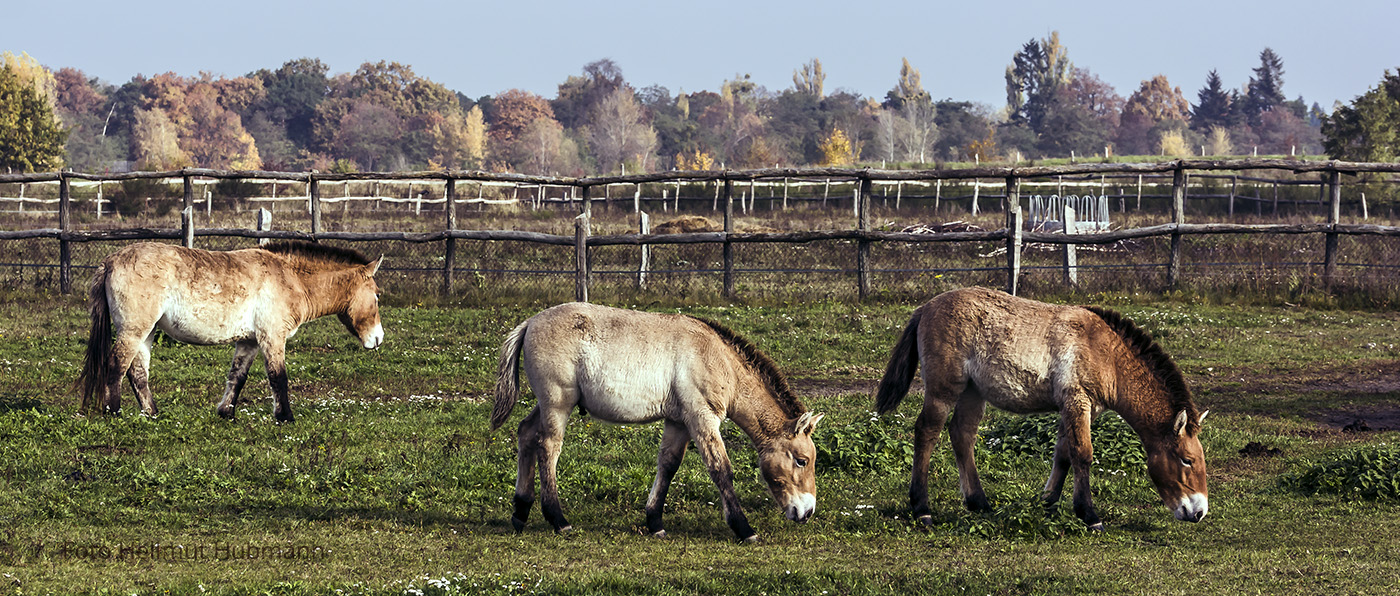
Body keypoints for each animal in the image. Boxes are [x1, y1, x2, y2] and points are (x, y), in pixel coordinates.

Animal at [75, 239, 383, 422]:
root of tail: (111, 260)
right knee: (117, 365)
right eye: (377, 295)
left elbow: (238, 376)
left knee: (138, 372)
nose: (378, 339)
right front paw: (285, 416)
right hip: (133, 330)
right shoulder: (272, 338)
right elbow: (279, 377)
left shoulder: (249, 342)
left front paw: (226, 412)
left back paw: (151, 413)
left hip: (146, 332)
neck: (290, 278)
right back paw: (113, 411)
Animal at [492, 304, 817, 542]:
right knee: (548, 448)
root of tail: (530, 322)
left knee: (526, 434)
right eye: (801, 460)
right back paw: (558, 519)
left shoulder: (678, 422)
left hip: (549, 405)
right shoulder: (702, 418)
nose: (807, 511)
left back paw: (520, 511)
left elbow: (668, 465)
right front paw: (743, 528)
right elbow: (720, 470)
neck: (716, 358)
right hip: (558, 404)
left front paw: (655, 522)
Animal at [879, 288, 1209, 531]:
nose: (1199, 512)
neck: (1105, 354)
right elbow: (1083, 454)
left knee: (962, 435)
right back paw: (922, 508)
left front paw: (1047, 504)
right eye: (1187, 460)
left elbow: (1063, 453)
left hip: (973, 392)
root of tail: (925, 308)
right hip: (944, 389)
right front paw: (1089, 515)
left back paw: (979, 503)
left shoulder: (1076, 407)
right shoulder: (1077, 401)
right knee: (927, 432)